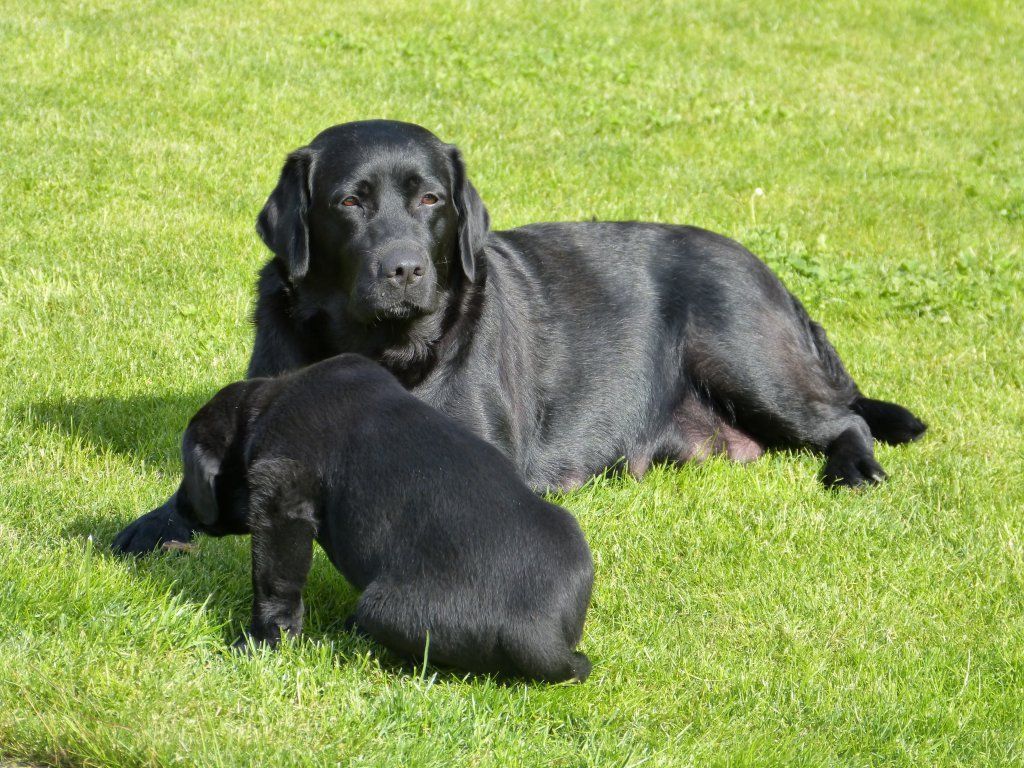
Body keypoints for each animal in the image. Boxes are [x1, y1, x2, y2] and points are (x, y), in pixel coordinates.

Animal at [114, 119, 926, 554]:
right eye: (349, 203)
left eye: (431, 200)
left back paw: (855, 471)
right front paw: (152, 527)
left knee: (845, 419)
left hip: (742, 352)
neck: (383, 350)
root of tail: (769, 272)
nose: (404, 268)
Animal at [173, 354, 593, 682]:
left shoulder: (281, 497)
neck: (268, 403)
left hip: (384, 609)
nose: (177, 507)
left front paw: (261, 642)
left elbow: (274, 583)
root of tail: (541, 635)